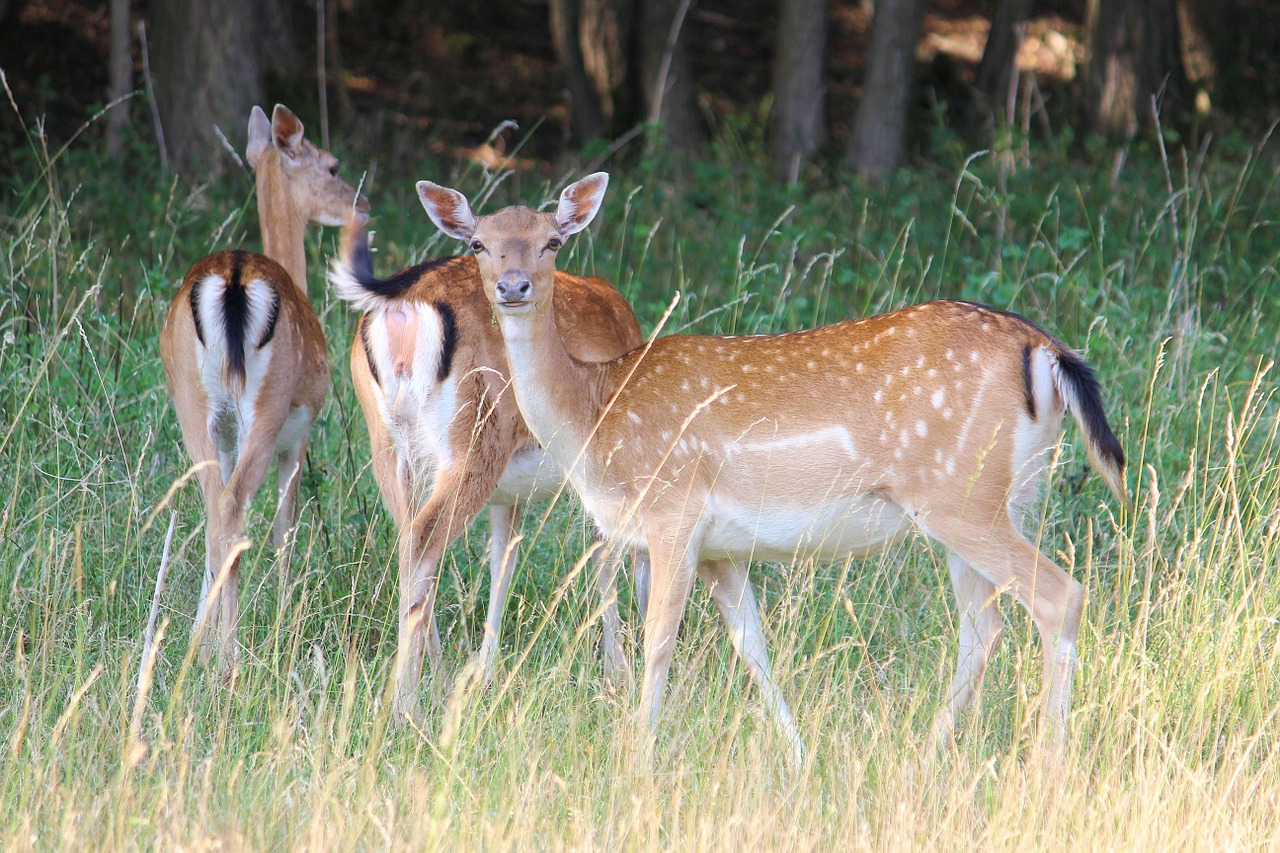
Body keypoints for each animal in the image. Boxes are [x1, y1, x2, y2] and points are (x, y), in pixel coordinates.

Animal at [159, 104, 368, 666]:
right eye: (333, 165)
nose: (362, 204)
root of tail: (232, 275)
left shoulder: (229, 435)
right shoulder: (300, 430)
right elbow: (284, 529)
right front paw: (283, 619)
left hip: (192, 403)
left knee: (215, 510)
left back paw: (203, 647)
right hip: (268, 405)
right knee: (234, 513)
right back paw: (228, 657)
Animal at [330, 206, 650, 717]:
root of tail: (403, 306)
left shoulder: (509, 496)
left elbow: (504, 559)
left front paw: (486, 670)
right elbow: (607, 557)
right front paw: (617, 673)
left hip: (389, 446)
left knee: (410, 544)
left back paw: (436, 681)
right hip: (473, 442)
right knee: (424, 541)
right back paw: (406, 705)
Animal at [412, 172, 1131, 758]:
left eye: (553, 242)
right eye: (479, 244)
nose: (513, 287)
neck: (598, 414)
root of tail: (1046, 350)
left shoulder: (674, 512)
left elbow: (659, 641)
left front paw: (638, 759)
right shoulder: (720, 549)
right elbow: (752, 647)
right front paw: (800, 755)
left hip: (962, 496)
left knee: (1059, 598)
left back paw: (1046, 762)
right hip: (1005, 497)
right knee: (984, 627)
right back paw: (929, 752)